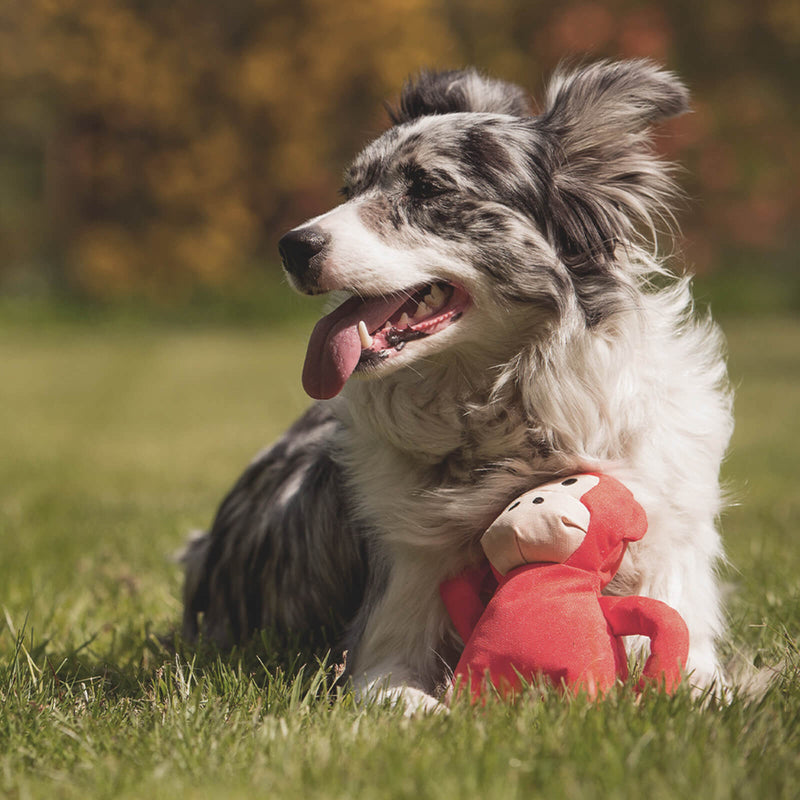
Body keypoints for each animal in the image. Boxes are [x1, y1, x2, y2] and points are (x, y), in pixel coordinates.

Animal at [184, 61, 736, 712]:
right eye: (349, 192)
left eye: (428, 188)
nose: (291, 246)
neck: (517, 438)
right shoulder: (385, 636)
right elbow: (415, 700)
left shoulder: (676, 587)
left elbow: (698, 679)